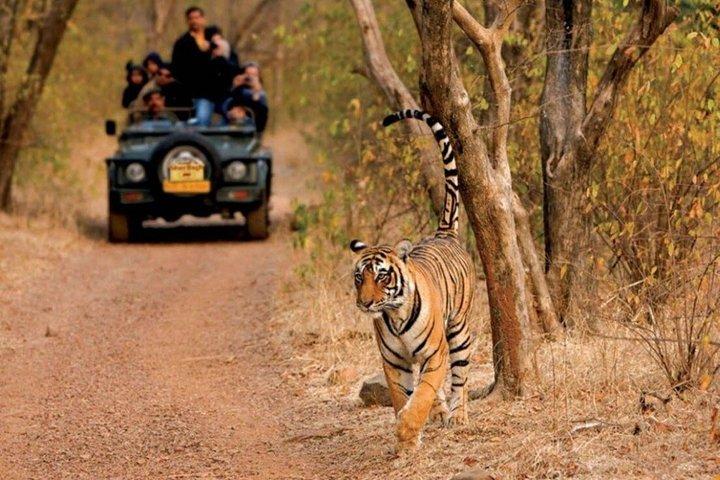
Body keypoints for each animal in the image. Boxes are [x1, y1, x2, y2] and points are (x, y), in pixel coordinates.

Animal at [349, 109, 476, 451]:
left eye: (382, 276)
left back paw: (458, 415)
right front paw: (407, 437)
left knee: (460, 376)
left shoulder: (435, 353)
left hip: (458, 329)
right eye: (359, 277)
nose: (365, 303)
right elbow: (401, 396)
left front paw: (408, 430)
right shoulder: (394, 363)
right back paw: (442, 411)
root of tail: (444, 234)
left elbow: (422, 393)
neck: (394, 316)